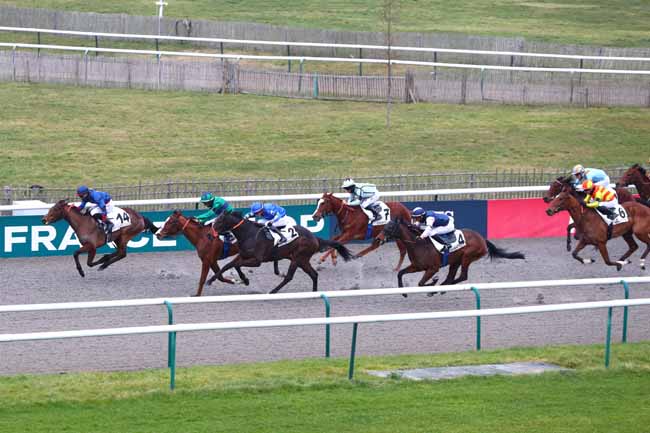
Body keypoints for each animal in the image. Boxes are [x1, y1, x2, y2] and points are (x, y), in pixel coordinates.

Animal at [206, 210, 354, 292]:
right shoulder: (243, 255)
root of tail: (314, 237)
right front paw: (211, 280)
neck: (249, 234)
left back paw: (273, 291)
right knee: (314, 274)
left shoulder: (257, 261)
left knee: (289, 277)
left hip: (298, 258)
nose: (209, 235)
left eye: (219, 221)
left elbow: (236, 265)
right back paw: (313, 292)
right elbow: (228, 265)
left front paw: (245, 279)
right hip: (302, 260)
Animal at [378, 219, 524, 286]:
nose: (378, 238)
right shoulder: (417, 266)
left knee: (462, 276)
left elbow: (421, 283)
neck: (418, 244)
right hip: (455, 261)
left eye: (389, 227)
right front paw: (403, 292)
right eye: (384, 226)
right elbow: (400, 274)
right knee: (451, 277)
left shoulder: (433, 268)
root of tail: (482, 239)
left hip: (467, 257)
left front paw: (434, 282)